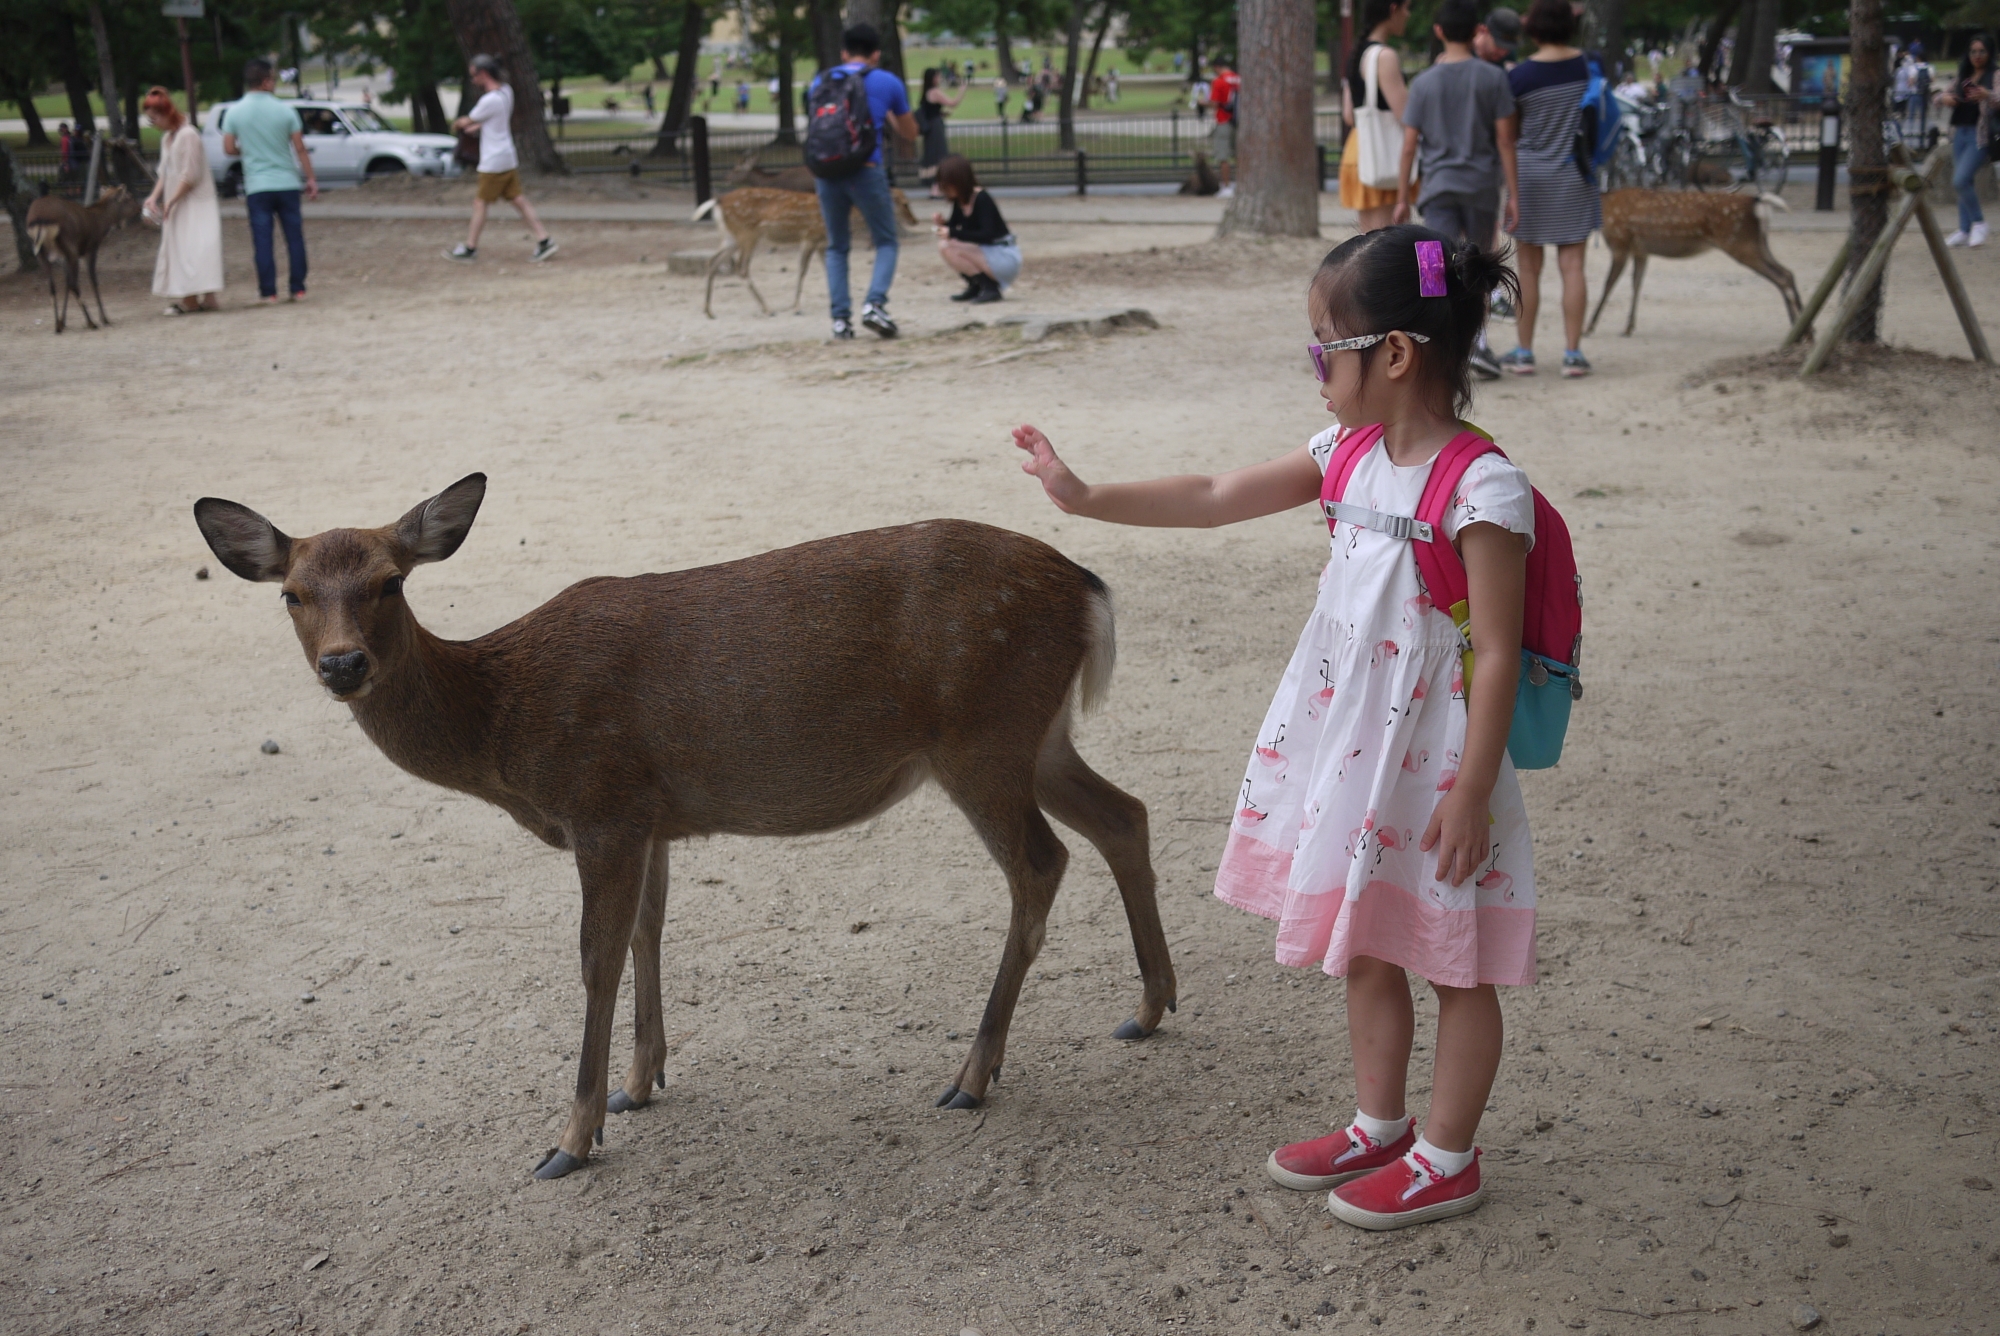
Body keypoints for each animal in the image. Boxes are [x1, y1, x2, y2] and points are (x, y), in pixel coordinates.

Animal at [25, 185, 143, 334]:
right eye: (129, 196)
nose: (139, 207)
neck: (100, 224)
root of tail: (39, 220)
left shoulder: (62, 257)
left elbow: (66, 284)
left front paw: (63, 321)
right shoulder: (91, 248)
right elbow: (93, 280)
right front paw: (104, 318)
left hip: (42, 253)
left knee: (52, 286)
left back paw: (57, 325)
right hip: (70, 247)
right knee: (74, 284)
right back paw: (91, 322)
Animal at [191, 472, 1168, 1176]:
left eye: (391, 582)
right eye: (291, 593)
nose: (343, 664)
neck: (506, 726)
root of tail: (1090, 590)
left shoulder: (600, 801)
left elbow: (595, 957)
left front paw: (571, 1138)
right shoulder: (649, 814)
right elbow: (648, 934)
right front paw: (642, 1082)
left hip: (981, 731)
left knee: (1042, 862)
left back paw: (971, 1075)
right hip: (1037, 735)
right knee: (1126, 814)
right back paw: (1148, 1009)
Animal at [696, 185, 920, 318]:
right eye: (903, 202)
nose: (915, 220)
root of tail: (718, 202)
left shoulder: (822, 242)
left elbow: (827, 270)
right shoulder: (810, 236)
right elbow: (803, 270)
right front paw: (795, 306)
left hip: (731, 237)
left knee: (712, 262)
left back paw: (708, 310)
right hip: (748, 234)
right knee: (741, 268)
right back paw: (767, 308)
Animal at [1584, 190, 1808, 342]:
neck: (1604, 206)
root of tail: (1757, 202)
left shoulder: (1619, 244)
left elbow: (1608, 285)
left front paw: (1589, 327)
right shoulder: (1641, 252)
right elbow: (1636, 285)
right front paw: (1628, 328)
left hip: (1740, 243)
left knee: (1781, 277)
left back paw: (1801, 331)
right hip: (1759, 242)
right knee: (1787, 273)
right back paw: (1801, 332)